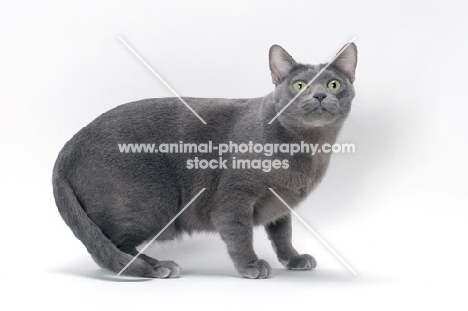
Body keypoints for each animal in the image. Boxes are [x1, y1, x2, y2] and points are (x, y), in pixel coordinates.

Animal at [52, 42, 358, 280]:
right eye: (299, 86)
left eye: (334, 84)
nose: (320, 95)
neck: (310, 146)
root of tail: (67, 148)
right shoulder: (233, 197)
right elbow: (240, 233)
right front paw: (250, 265)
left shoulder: (281, 203)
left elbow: (283, 233)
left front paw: (293, 259)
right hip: (150, 202)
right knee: (112, 248)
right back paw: (159, 267)